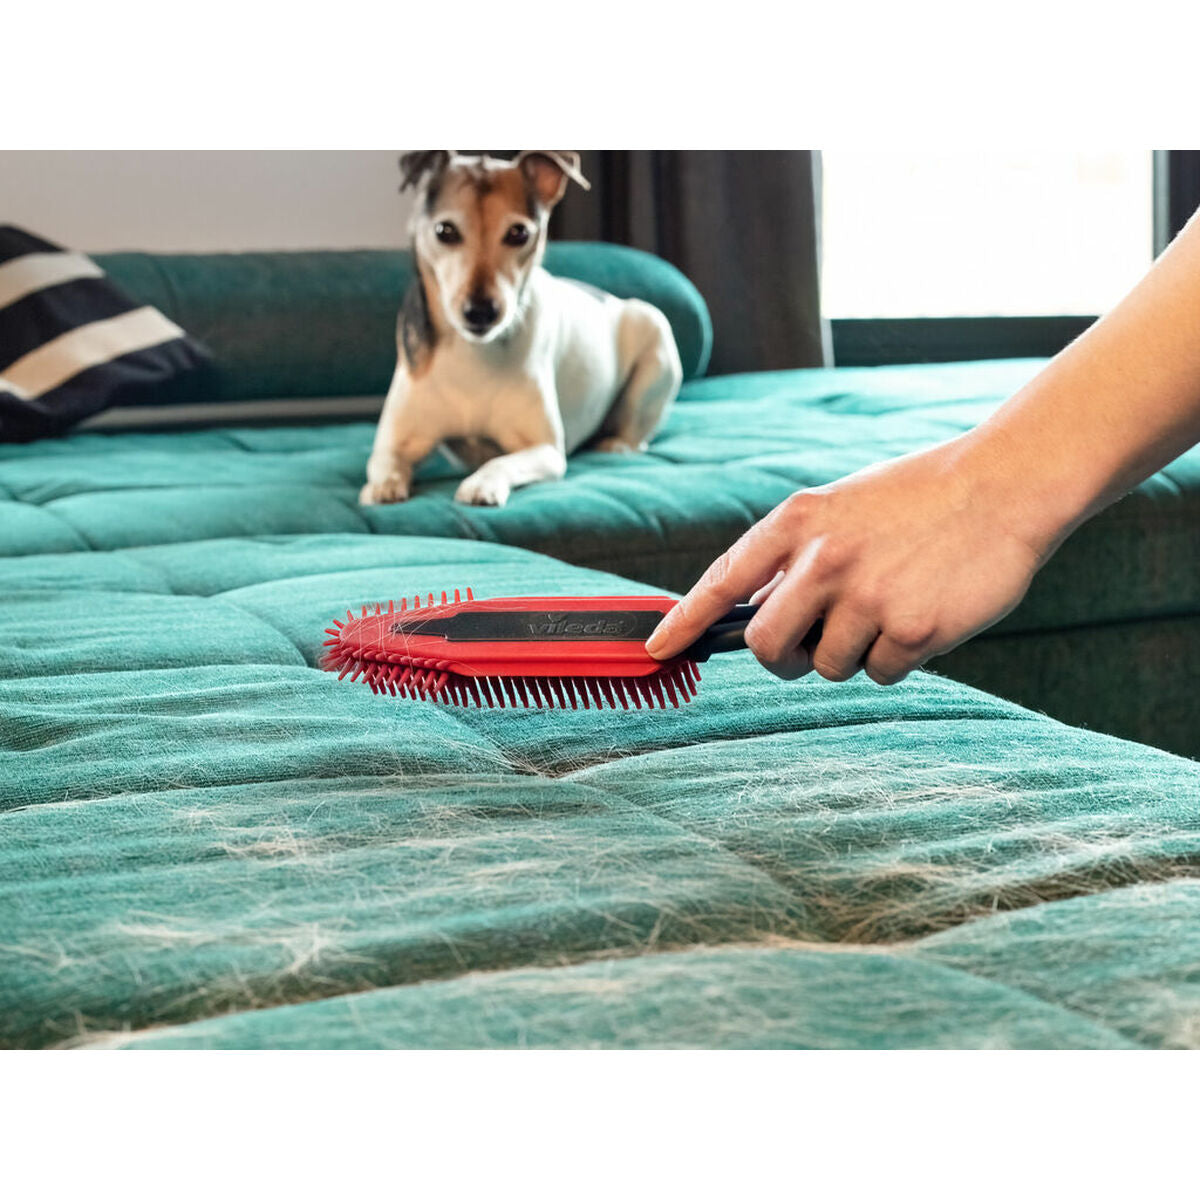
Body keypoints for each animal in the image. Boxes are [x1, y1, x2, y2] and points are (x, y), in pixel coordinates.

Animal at [359, 151, 682, 508]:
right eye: (445, 230)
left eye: (518, 233)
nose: (481, 312)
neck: (473, 353)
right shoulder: (394, 443)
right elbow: (385, 463)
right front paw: (382, 487)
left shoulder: (546, 450)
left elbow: (501, 461)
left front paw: (481, 484)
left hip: (655, 338)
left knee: (637, 433)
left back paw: (617, 444)